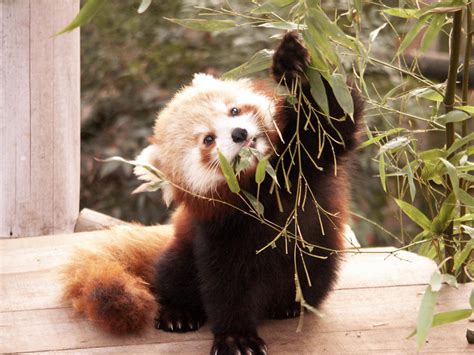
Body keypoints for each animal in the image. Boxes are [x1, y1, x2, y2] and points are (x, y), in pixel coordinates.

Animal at [61, 32, 362, 354]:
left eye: (234, 110)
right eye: (208, 140)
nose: (240, 134)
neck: (261, 188)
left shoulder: (301, 164)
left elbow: (332, 119)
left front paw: (293, 63)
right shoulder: (219, 231)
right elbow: (226, 285)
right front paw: (236, 337)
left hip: (318, 265)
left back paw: (289, 305)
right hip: (180, 253)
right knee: (172, 275)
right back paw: (177, 313)